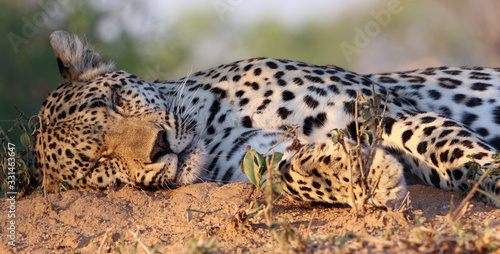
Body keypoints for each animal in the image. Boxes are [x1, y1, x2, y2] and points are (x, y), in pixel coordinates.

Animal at [32, 30, 500, 207]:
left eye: (114, 100)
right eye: (97, 162)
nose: (159, 145)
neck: (214, 124)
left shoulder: (375, 105)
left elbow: (447, 147)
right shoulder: (256, 161)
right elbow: (292, 173)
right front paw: (368, 173)